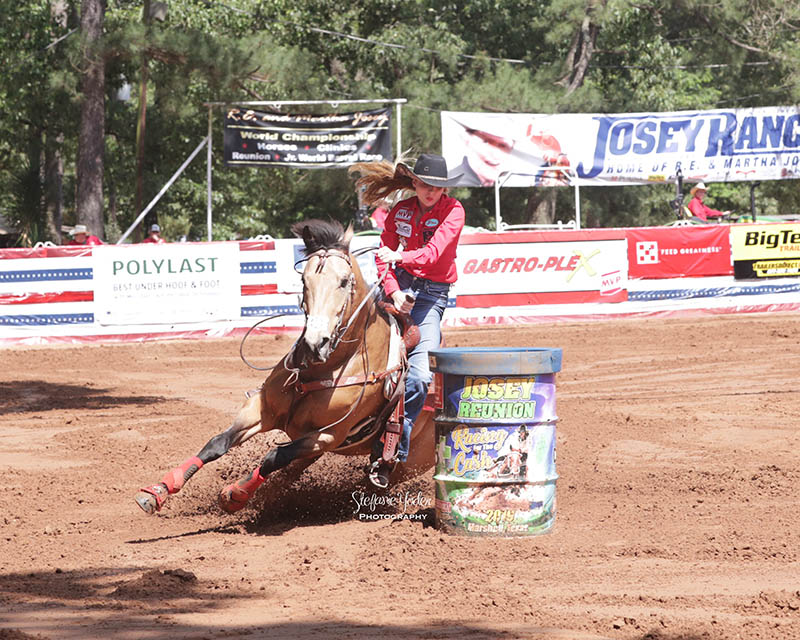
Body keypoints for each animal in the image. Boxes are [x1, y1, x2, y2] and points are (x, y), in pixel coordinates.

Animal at [135, 219, 436, 515]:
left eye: (343, 281)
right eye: (304, 279)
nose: (316, 343)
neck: (324, 368)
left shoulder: (328, 435)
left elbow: (273, 457)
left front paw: (236, 493)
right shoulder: (262, 409)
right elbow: (217, 444)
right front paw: (159, 491)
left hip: (407, 464)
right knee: (292, 469)